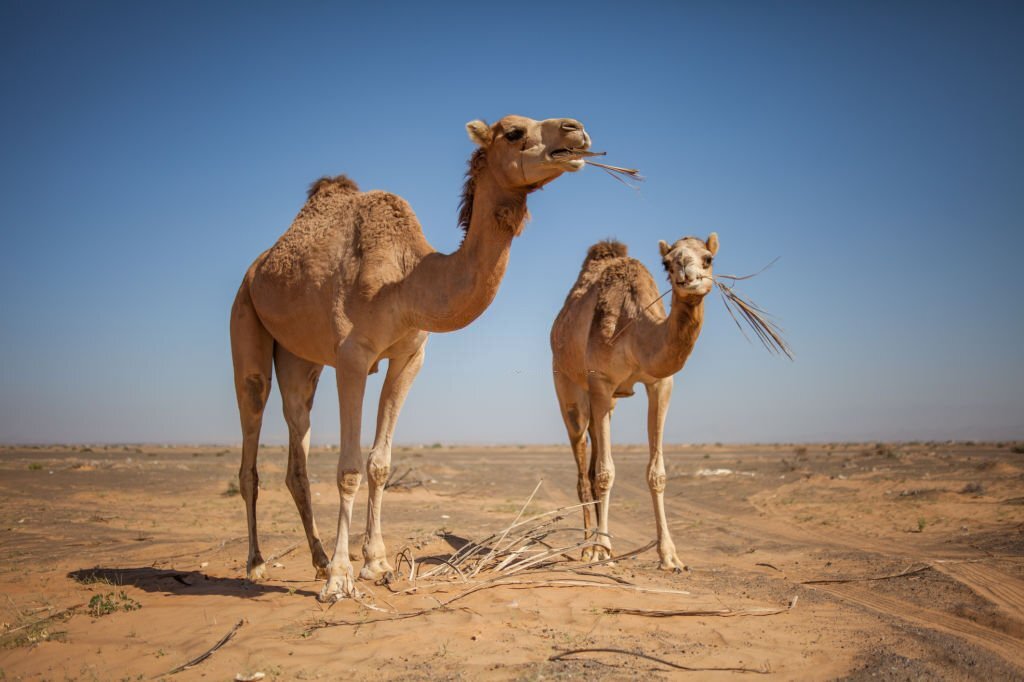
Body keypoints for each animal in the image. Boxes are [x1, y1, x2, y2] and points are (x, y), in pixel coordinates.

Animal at [230, 115, 592, 601]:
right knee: (251, 435)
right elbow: (348, 467)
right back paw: (257, 564)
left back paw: (318, 558)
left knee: (297, 437)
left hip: (298, 359)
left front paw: (376, 565)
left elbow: (379, 464)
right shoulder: (352, 357)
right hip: (246, 320)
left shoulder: (409, 358)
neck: (406, 280)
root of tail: (257, 268)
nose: (576, 131)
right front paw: (341, 579)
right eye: (514, 132)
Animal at [550, 233, 719, 571]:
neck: (635, 329)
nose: (687, 276)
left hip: (608, 404)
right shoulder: (600, 381)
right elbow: (605, 474)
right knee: (582, 470)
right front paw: (600, 550)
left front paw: (670, 556)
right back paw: (587, 547)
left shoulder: (660, 383)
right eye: (667, 263)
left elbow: (657, 473)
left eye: (708, 258)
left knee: (590, 466)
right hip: (568, 387)